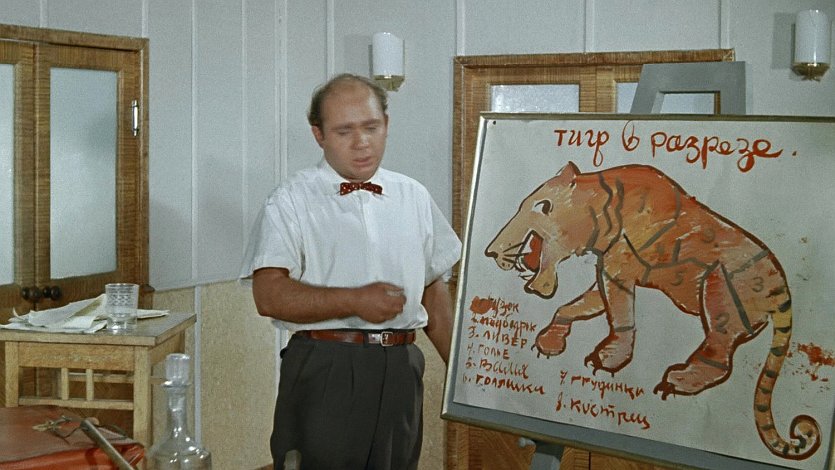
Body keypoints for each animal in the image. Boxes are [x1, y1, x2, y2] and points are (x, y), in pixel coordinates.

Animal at [484, 161, 820, 460]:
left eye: (543, 207)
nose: (491, 252)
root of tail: (782, 292)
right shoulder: (606, 270)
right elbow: (574, 306)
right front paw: (550, 342)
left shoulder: (617, 269)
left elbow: (620, 316)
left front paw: (607, 360)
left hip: (721, 291)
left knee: (721, 357)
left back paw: (677, 380)